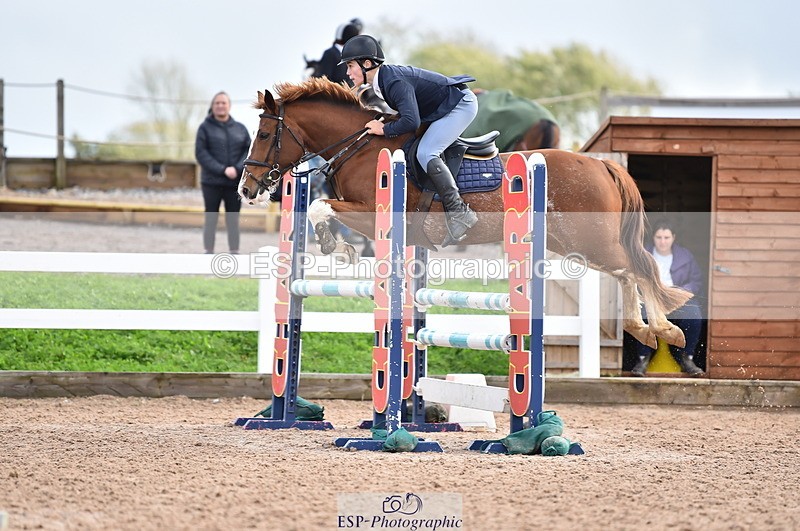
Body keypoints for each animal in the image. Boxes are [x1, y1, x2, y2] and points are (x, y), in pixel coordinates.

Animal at [238, 78, 691, 349]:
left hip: (589, 239)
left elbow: (321, 206)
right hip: (574, 244)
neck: (361, 146)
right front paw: (340, 248)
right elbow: (325, 209)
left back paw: (663, 329)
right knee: (627, 270)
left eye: (265, 133)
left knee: (640, 267)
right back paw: (641, 329)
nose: (246, 188)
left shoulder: (371, 211)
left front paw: (337, 247)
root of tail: (601, 164)